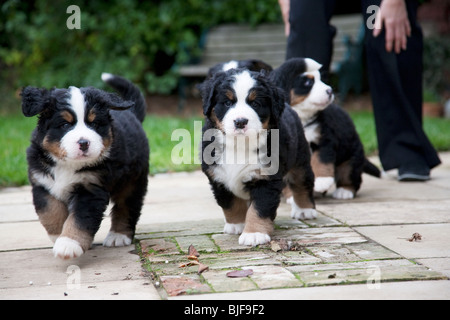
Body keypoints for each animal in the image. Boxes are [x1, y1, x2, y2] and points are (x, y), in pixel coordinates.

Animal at [22, 74, 149, 258]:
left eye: (94, 124)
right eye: (65, 125)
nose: (84, 143)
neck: (68, 165)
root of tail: (131, 115)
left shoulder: (90, 189)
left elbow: (79, 219)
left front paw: (68, 244)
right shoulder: (43, 183)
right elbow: (51, 212)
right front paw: (58, 236)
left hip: (132, 181)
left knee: (127, 207)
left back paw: (118, 236)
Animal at [199, 62, 318, 248]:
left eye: (255, 103)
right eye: (227, 102)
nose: (240, 121)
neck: (239, 145)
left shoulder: (266, 179)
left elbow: (259, 209)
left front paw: (254, 233)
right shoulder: (218, 178)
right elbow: (230, 204)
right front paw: (236, 225)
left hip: (300, 161)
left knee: (302, 184)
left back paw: (305, 210)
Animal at [270, 57, 380, 198]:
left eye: (321, 79)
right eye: (307, 82)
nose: (330, 91)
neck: (302, 117)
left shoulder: (324, 139)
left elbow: (321, 160)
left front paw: (322, 181)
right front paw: (292, 197)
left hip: (351, 156)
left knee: (350, 175)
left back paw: (344, 191)